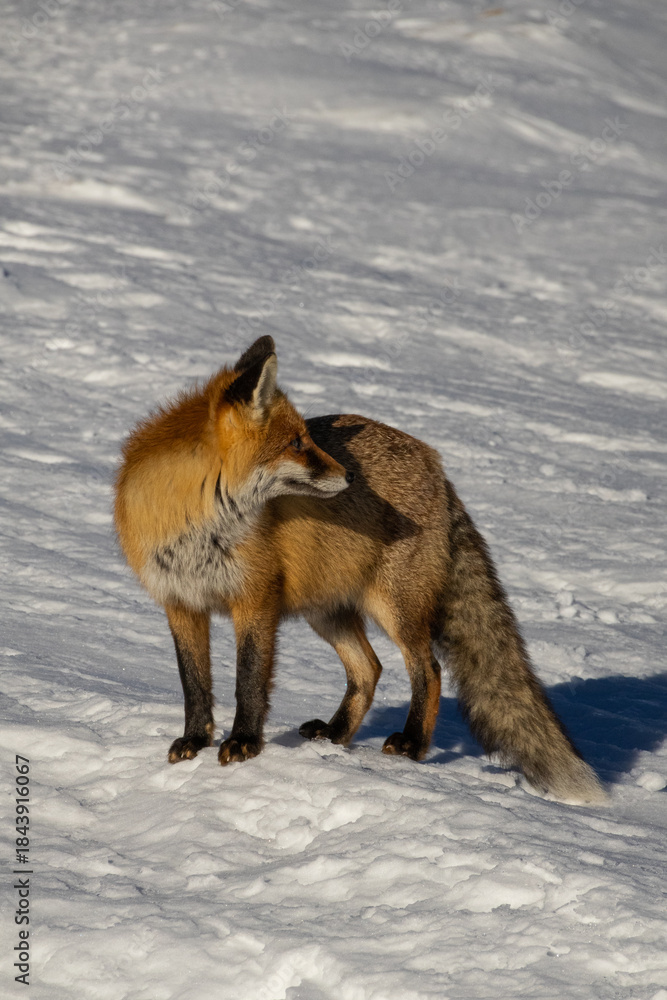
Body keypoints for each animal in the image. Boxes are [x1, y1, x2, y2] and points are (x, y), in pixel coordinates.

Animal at [114, 335, 606, 803]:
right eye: (297, 444)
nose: (350, 476)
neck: (196, 523)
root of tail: (437, 465)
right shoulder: (180, 603)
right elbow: (194, 683)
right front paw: (194, 742)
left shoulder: (255, 600)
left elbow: (248, 681)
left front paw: (244, 743)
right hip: (327, 613)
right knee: (369, 669)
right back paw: (335, 735)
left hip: (394, 609)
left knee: (428, 670)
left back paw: (412, 744)